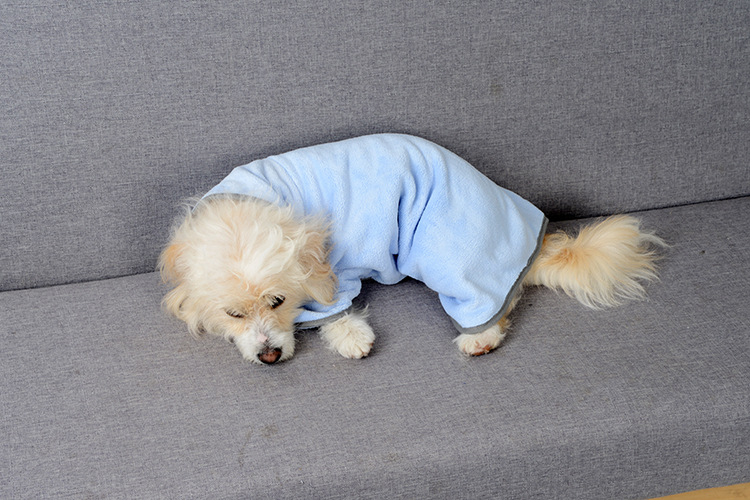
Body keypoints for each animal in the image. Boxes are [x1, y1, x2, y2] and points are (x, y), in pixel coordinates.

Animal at [162, 135, 668, 366]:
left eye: (277, 301)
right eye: (233, 314)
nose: (268, 356)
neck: (258, 202)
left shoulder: (337, 272)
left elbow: (336, 310)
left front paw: (350, 336)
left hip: (447, 250)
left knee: (494, 303)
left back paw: (479, 338)